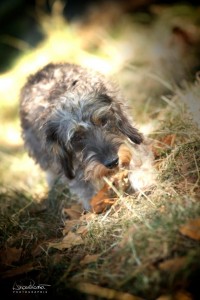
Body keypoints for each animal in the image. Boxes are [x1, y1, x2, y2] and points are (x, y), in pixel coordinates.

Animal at [19, 62, 155, 210]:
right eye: (76, 137)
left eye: (104, 121)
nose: (112, 162)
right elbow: (82, 185)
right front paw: (94, 203)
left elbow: (135, 150)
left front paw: (142, 178)